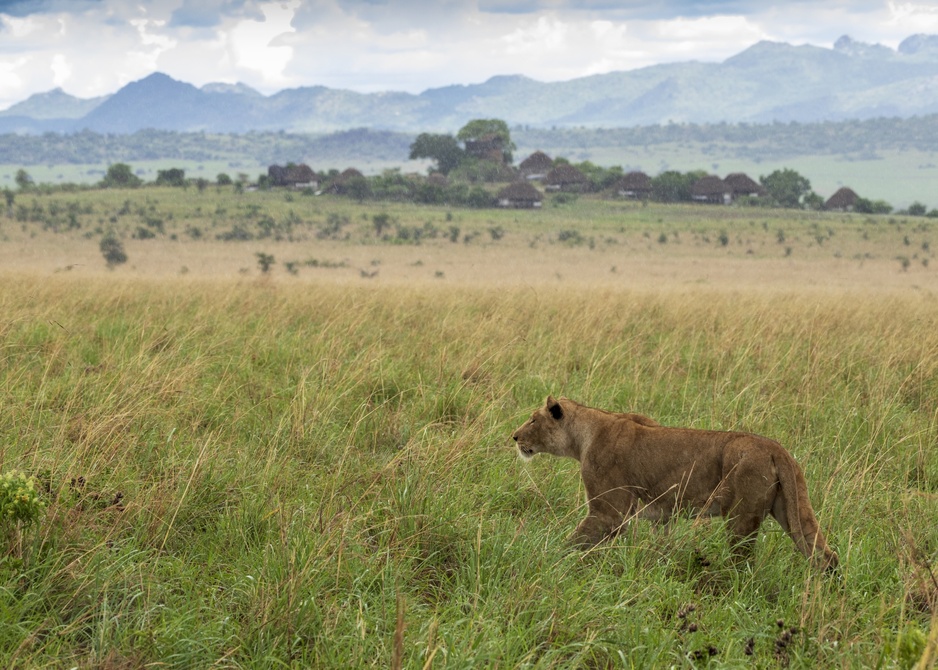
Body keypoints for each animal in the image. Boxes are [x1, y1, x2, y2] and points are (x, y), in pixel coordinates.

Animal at [512, 396, 838, 571]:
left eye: (533, 420)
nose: (514, 436)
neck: (582, 436)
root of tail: (775, 448)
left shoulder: (609, 513)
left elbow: (573, 543)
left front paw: (550, 560)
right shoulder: (663, 516)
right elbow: (661, 546)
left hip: (741, 518)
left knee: (743, 563)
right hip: (794, 509)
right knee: (825, 555)